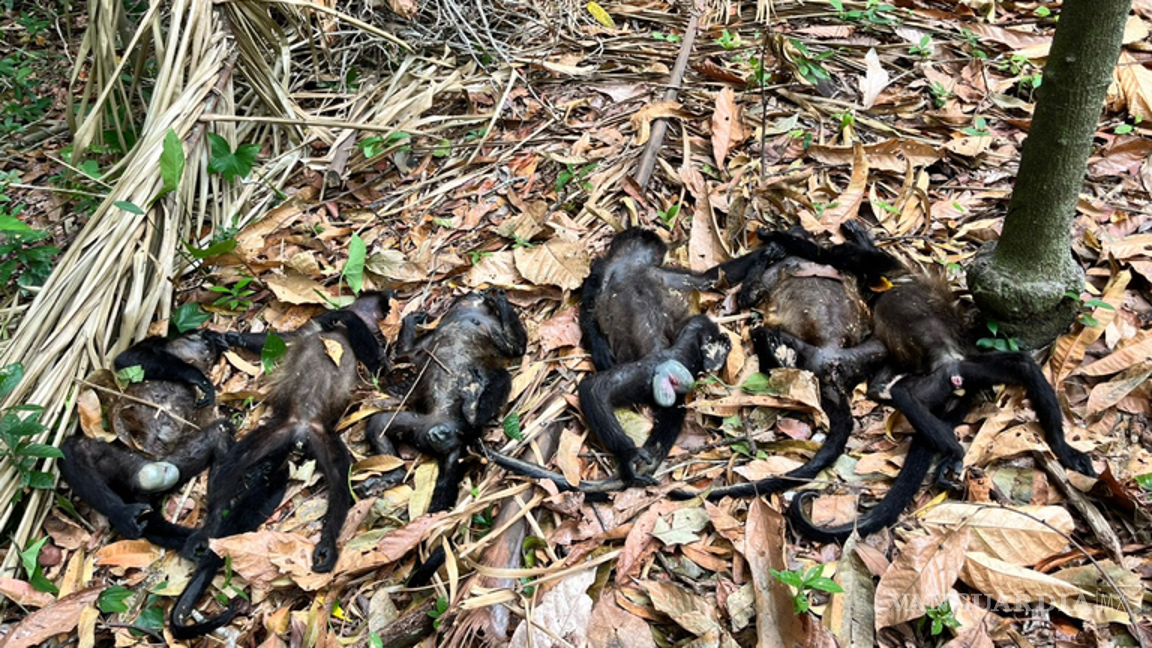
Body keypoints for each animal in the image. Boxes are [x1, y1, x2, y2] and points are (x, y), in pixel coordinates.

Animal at [60, 330, 237, 550]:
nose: (210, 338)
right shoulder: (156, 341)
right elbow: (128, 359)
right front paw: (197, 376)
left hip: (180, 462)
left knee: (220, 434)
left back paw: (215, 522)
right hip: (126, 463)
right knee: (73, 449)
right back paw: (122, 514)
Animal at [169, 292, 390, 639]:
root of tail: (300, 430)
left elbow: (380, 365)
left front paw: (343, 317)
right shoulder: (310, 328)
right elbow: (284, 339)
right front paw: (227, 338)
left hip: (321, 437)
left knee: (339, 480)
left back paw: (327, 544)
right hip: (276, 431)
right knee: (235, 463)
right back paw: (210, 528)